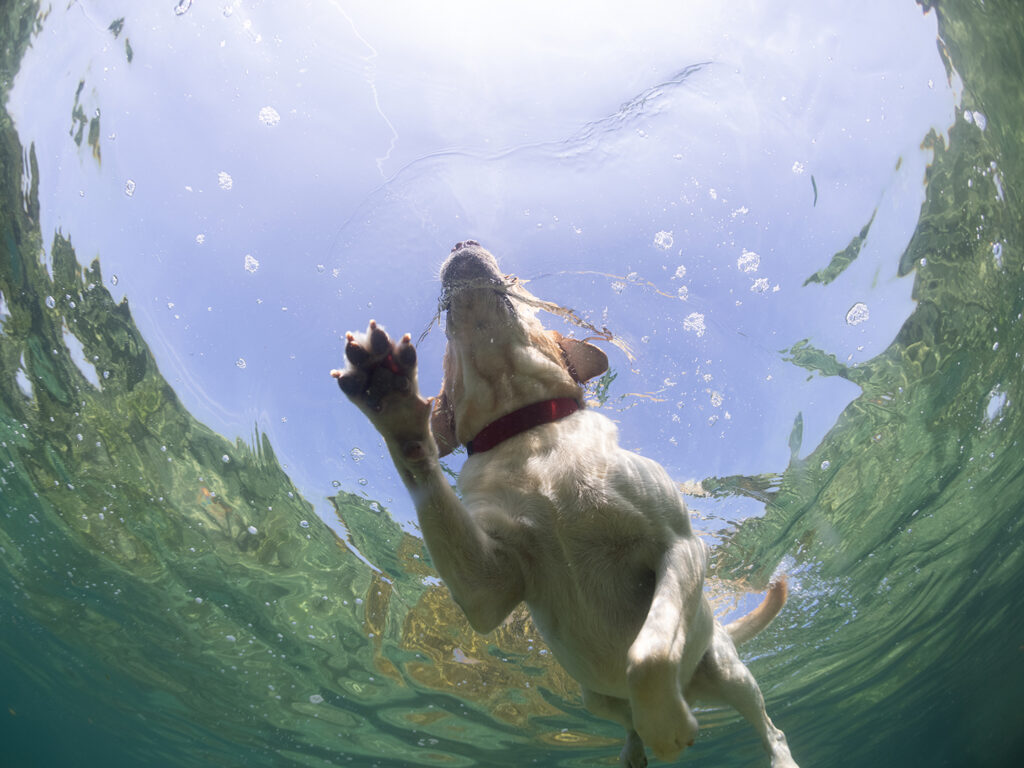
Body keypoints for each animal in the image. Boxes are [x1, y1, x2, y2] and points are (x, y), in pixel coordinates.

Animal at [331, 241, 794, 768]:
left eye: (517, 282)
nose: (461, 245)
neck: (530, 435)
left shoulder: (680, 547)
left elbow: (649, 654)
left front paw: (666, 725)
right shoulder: (487, 590)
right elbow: (419, 465)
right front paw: (391, 403)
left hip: (727, 672)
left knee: (767, 726)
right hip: (592, 698)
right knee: (624, 719)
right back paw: (633, 749)